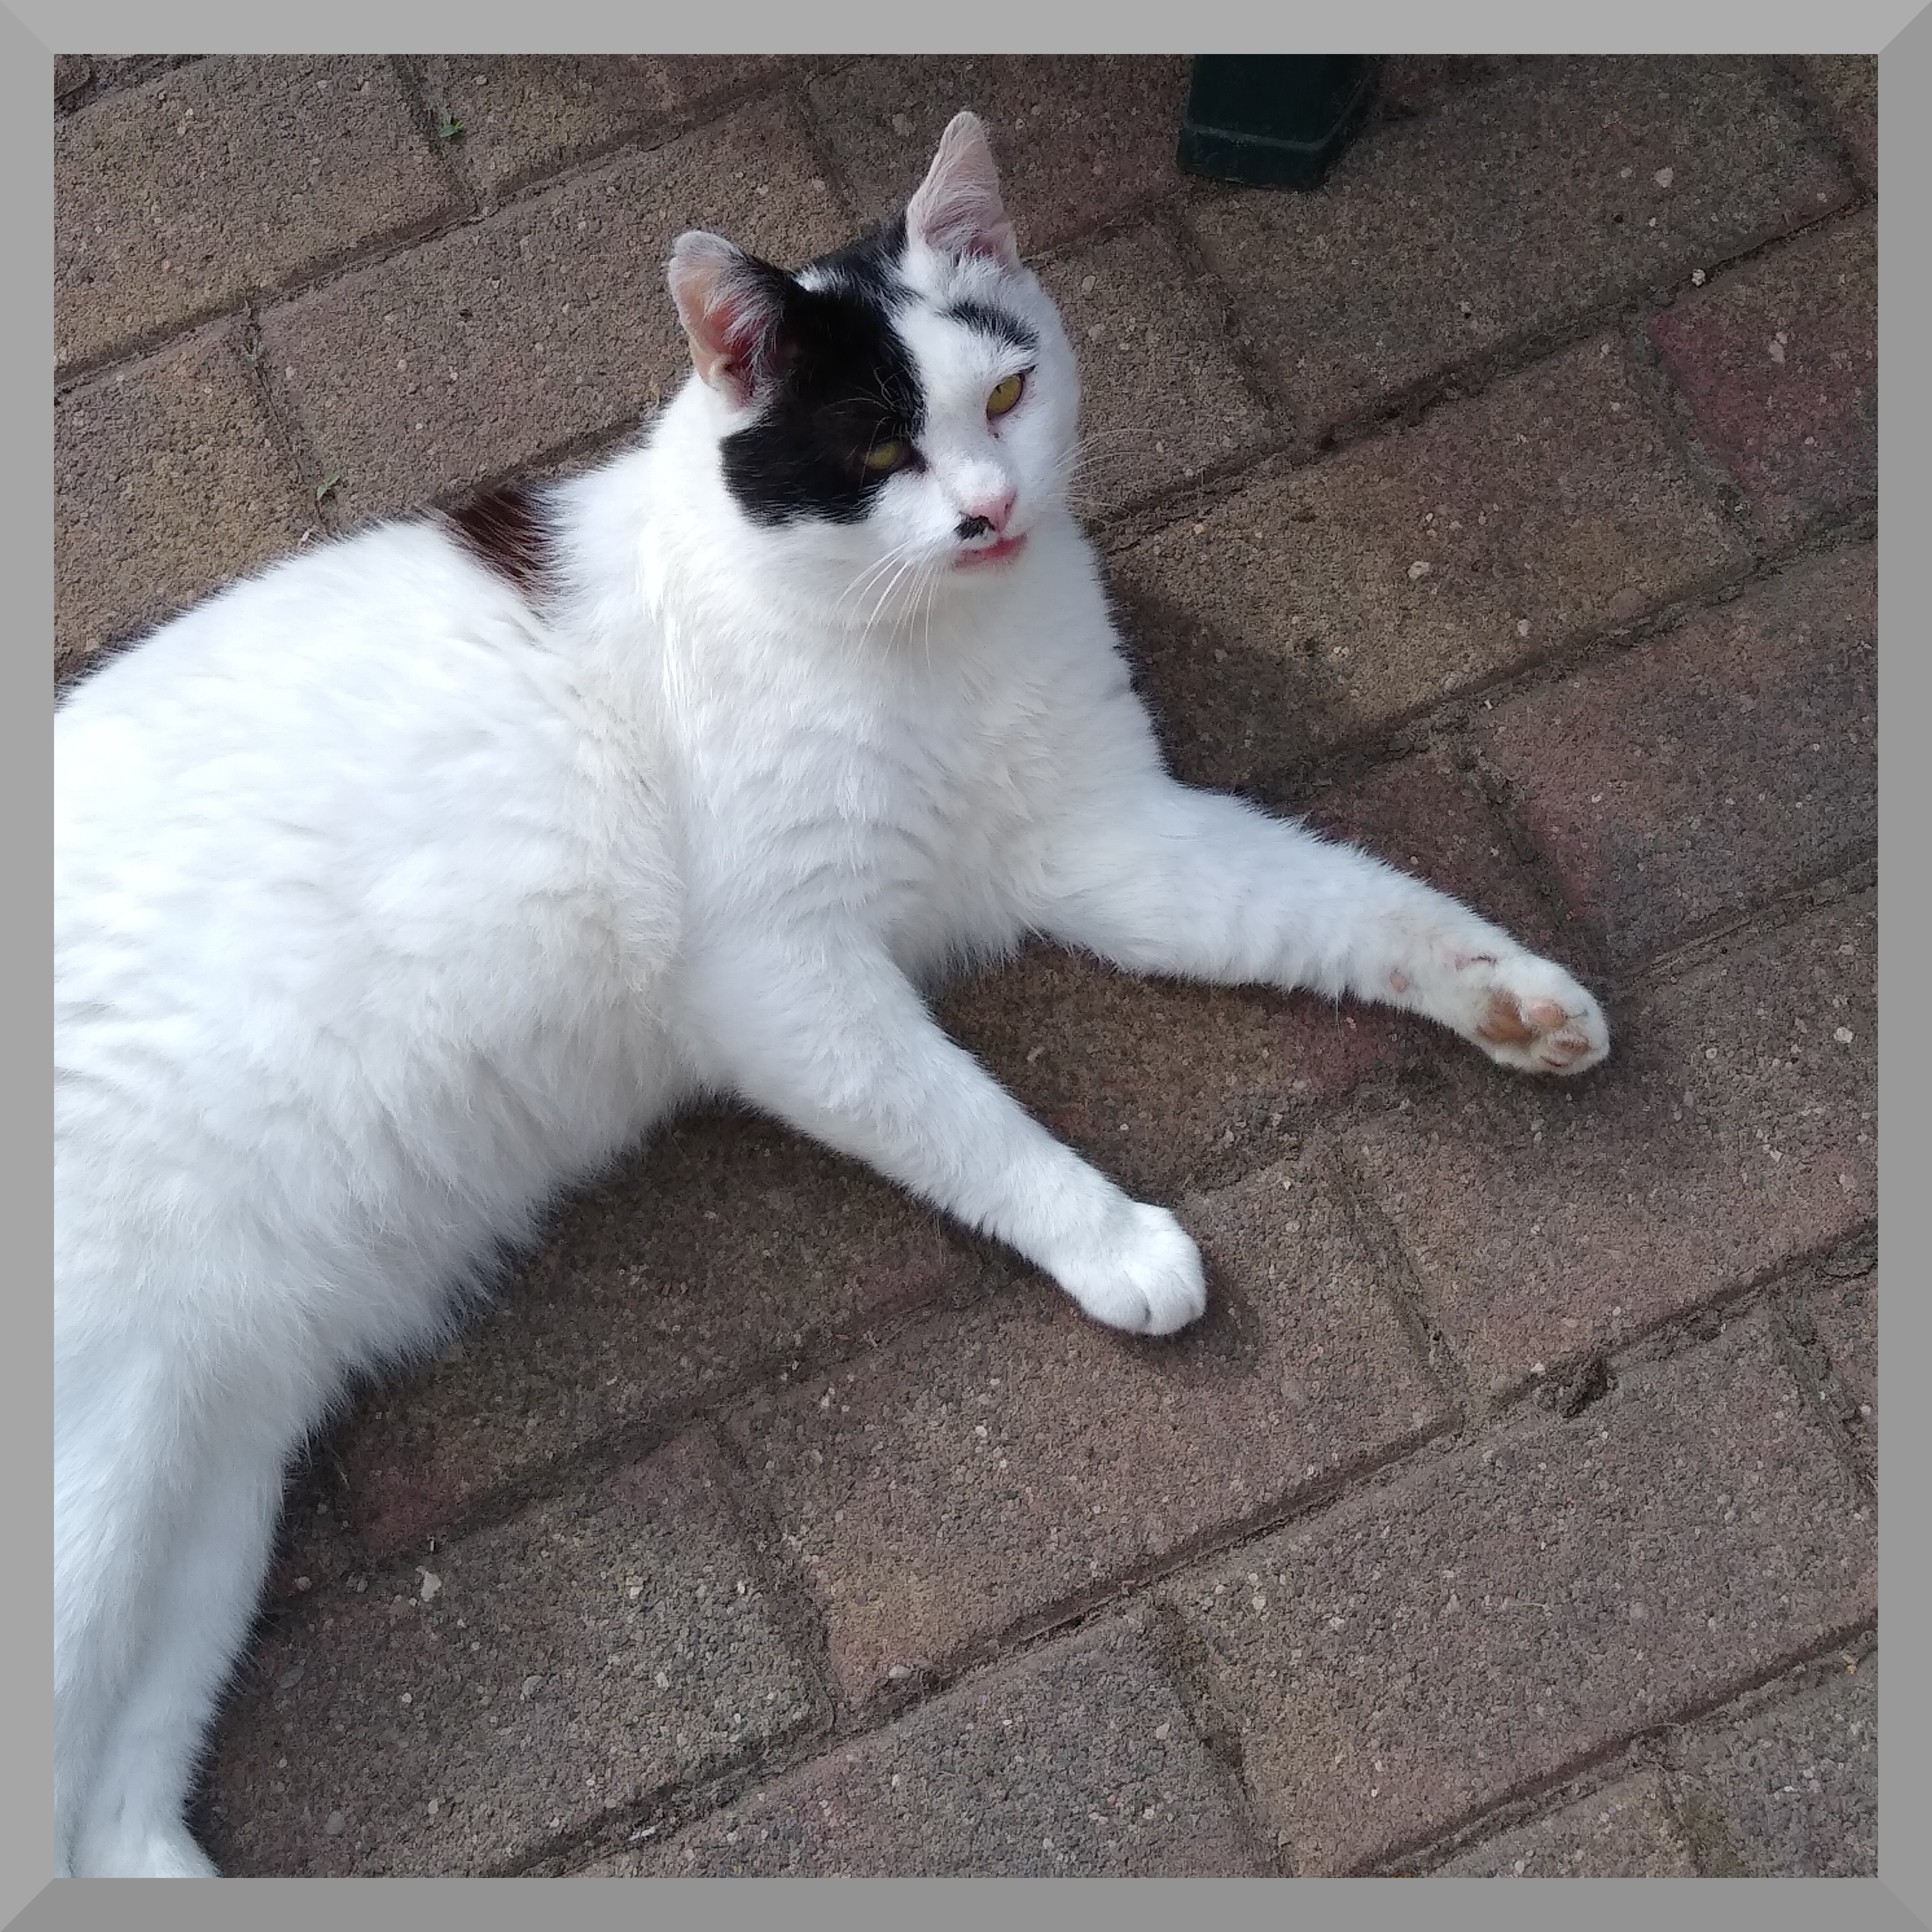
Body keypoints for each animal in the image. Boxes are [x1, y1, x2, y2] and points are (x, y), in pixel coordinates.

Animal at [53, 113, 1607, 1877]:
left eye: (1003, 397)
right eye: (873, 445)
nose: (992, 508)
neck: (921, 640)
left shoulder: (1109, 845)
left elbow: (1341, 902)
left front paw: (1508, 989)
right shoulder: (782, 978)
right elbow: (962, 1117)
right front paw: (1109, 1239)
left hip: (206, 1476)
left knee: (101, 1815)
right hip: (96, 1489)